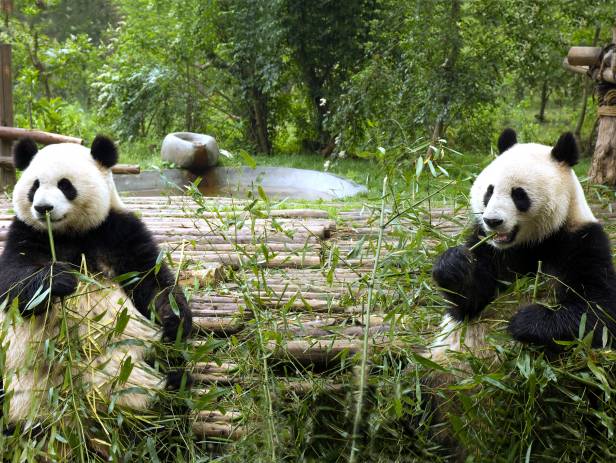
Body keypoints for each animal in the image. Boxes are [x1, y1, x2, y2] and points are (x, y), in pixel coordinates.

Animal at [0, 136, 192, 430]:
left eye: (65, 185)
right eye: (34, 186)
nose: (43, 208)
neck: (68, 234)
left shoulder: (118, 231)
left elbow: (151, 278)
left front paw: (174, 317)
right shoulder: (25, 232)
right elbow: (13, 279)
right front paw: (60, 279)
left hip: (139, 362)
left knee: (160, 378)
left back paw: (174, 386)